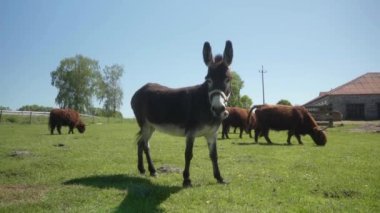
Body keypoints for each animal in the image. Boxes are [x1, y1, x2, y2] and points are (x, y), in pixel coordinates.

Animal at [131, 40, 235, 186]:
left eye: (228, 79)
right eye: (208, 80)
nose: (219, 109)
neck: (205, 103)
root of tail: (140, 89)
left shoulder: (212, 134)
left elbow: (214, 156)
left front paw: (219, 178)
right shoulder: (191, 132)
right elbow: (188, 154)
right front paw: (186, 180)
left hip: (151, 126)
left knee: (141, 143)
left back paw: (144, 170)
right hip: (144, 124)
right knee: (145, 145)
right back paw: (152, 170)